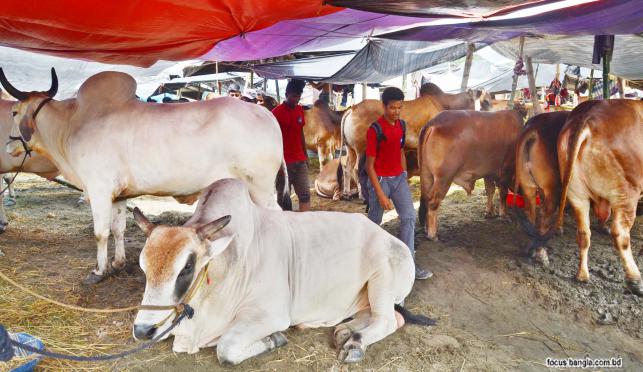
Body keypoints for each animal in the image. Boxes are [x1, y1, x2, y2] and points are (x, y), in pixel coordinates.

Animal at [0, 70, 290, 284]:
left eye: (14, 112)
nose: (8, 145)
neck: (71, 125)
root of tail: (265, 114)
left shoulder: (99, 190)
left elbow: (100, 233)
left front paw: (98, 271)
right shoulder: (118, 195)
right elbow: (118, 228)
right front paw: (117, 263)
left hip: (261, 188)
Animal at [131, 179, 438, 364]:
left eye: (187, 267)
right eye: (143, 266)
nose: (143, 330)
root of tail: (395, 241)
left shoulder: (270, 313)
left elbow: (226, 349)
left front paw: (273, 339)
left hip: (382, 280)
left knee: (388, 320)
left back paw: (355, 344)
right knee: (372, 316)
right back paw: (344, 331)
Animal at [418, 109, 528, 240]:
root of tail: (433, 122)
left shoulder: (488, 173)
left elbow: (490, 190)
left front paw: (490, 212)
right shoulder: (507, 169)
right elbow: (503, 193)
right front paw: (504, 215)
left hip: (426, 175)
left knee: (425, 200)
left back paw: (426, 229)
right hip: (443, 178)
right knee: (433, 202)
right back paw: (433, 234)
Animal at [556, 99, 640, 296]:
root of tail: (588, 116)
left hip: (576, 192)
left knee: (583, 233)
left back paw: (582, 274)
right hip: (626, 192)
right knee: (620, 234)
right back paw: (635, 280)